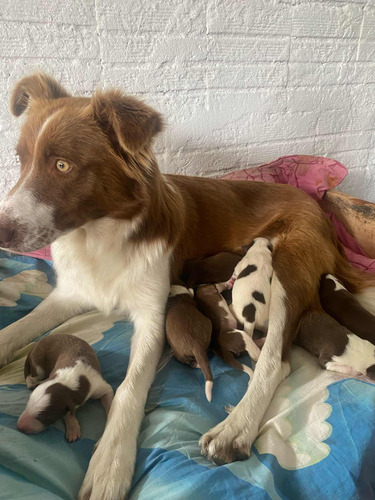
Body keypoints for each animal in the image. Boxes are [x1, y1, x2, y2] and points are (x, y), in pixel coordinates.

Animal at [0, 72, 375, 498]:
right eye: (21, 160)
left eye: (63, 165)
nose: (1, 231)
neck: (100, 236)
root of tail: (317, 207)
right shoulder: (73, 293)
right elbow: (16, 328)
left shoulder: (153, 315)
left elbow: (129, 387)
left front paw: (110, 463)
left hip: (289, 268)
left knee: (276, 359)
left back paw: (234, 430)